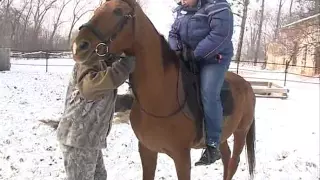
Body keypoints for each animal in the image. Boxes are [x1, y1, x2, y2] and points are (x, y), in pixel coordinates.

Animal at [71, 0, 256, 180]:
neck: (159, 97)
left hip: (240, 132)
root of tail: (248, 86)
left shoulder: (182, 157)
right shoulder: (147, 151)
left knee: (233, 162)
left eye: (117, 11)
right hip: (224, 135)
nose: (79, 46)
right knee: (226, 157)